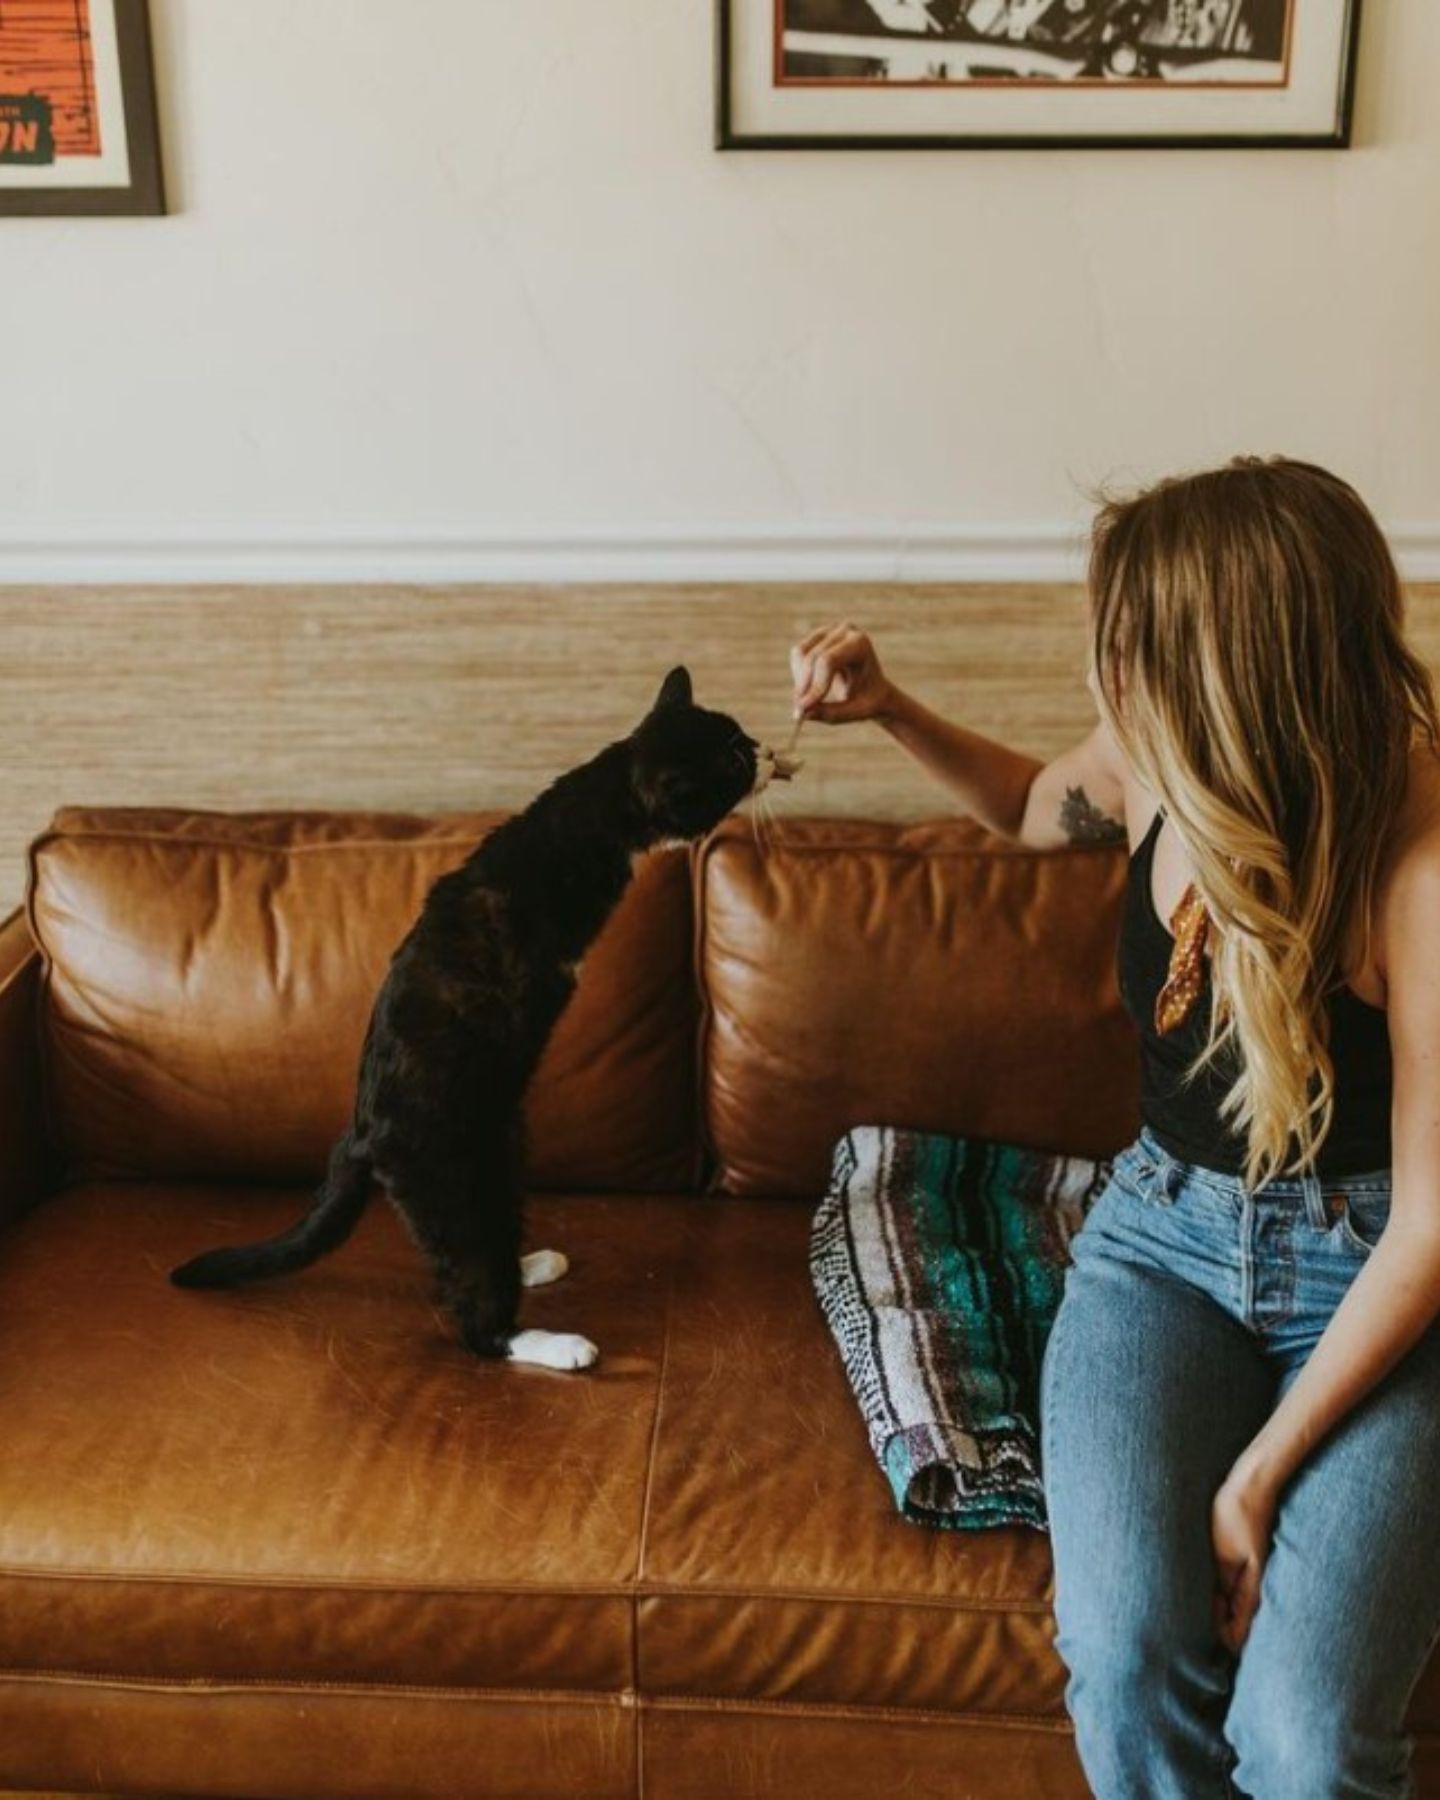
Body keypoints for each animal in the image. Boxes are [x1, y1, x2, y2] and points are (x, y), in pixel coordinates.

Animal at [174, 669, 792, 1368]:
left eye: (743, 735)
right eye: (734, 760)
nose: (769, 751)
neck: (597, 799)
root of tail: (362, 1134)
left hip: (505, 1148)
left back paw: (530, 1264)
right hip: (461, 1172)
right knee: (475, 1311)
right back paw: (551, 1342)